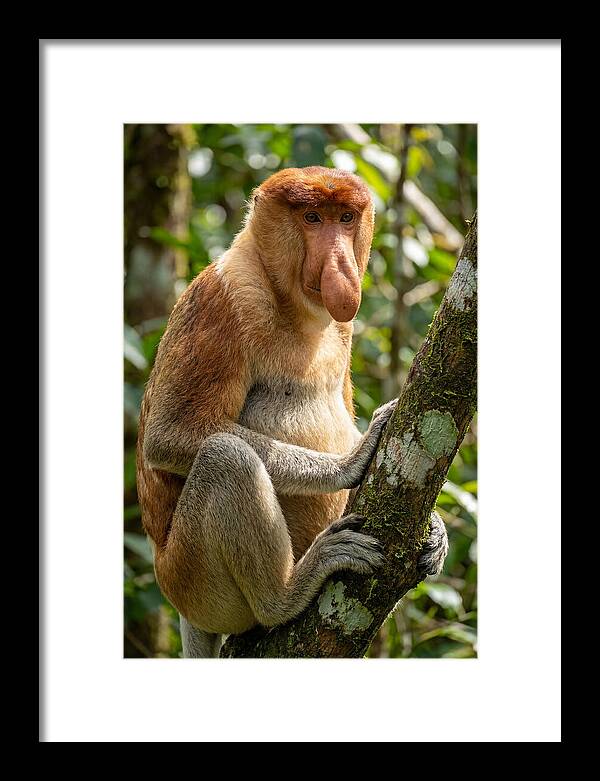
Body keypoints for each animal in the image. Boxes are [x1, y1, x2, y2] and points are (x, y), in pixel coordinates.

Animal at [136, 166, 448, 658]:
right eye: (312, 218)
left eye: (345, 217)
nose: (340, 265)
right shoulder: (224, 299)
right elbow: (170, 434)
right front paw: (351, 461)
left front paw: (436, 529)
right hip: (191, 580)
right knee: (226, 457)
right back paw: (287, 593)